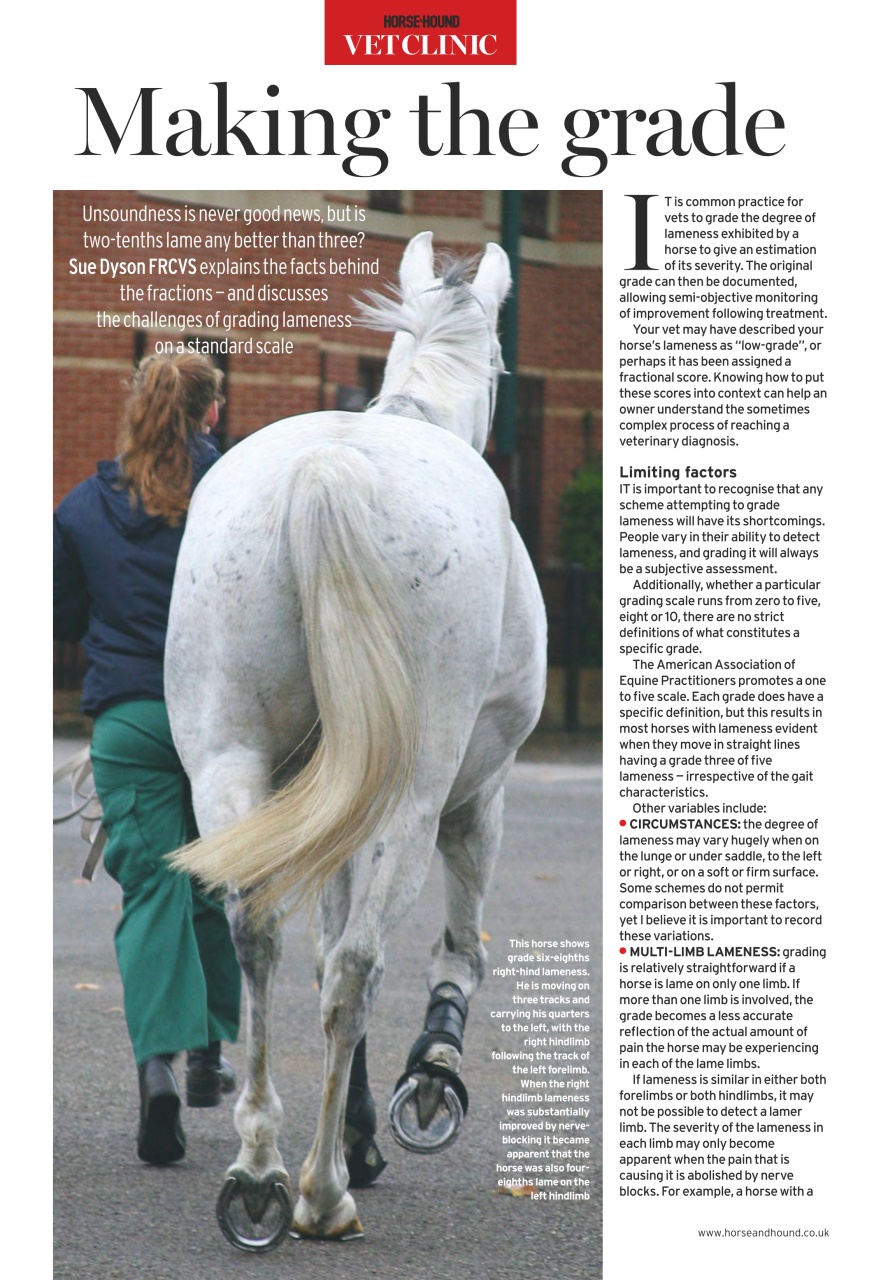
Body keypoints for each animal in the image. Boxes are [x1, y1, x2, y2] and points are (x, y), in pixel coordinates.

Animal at [165, 231, 548, 1250]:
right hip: (413, 794)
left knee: (258, 928)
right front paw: (429, 1079)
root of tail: (325, 473)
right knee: (355, 969)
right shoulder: (478, 796)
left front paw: (361, 1129)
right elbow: (456, 946)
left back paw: (260, 1165)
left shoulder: (322, 799)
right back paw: (315, 1191)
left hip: (231, 764)